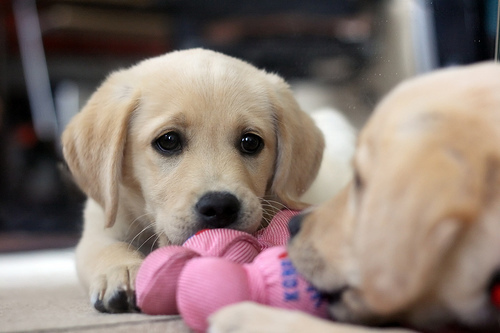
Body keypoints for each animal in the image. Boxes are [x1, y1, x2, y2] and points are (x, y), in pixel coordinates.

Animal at [61, 48, 324, 312]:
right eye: (168, 140)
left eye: (250, 142)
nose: (220, 207)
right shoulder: (100, 226)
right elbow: (108, 248)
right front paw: (122, 271)